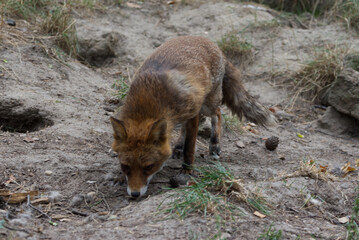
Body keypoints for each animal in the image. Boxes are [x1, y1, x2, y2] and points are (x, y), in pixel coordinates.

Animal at [110, 35, 276, 197]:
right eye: (125, 166)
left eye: (149, 167)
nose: (134, 194)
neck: (149, 99)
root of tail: (212, 43)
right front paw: (120, 177)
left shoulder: (192, 113)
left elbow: (190, 147)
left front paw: (187, 170)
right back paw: (178, 146)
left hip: (208, 104)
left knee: (218, 113)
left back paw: (214, 144)